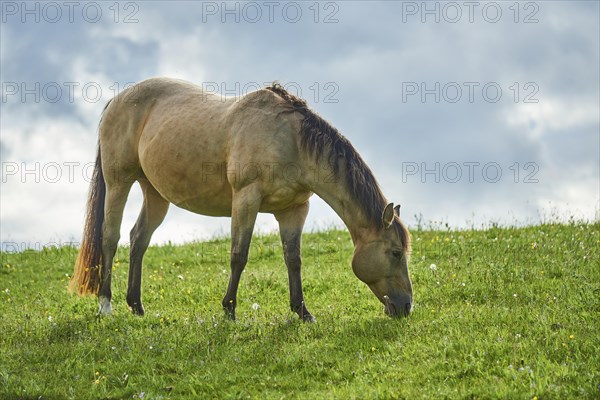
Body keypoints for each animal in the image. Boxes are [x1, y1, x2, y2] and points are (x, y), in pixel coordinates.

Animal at [68, 79, 410, 322]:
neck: (291, 140)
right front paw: (229, 310)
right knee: (110, 238)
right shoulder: (246, 199)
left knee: (138, 240)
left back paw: (137, 306)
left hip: (155, 192)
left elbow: (293, 259)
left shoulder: (294, 210)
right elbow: (239, 255)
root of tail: (116, 99)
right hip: (119, 182)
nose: (406, 306)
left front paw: (303, 312)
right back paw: (106, 304)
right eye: (395, 253)